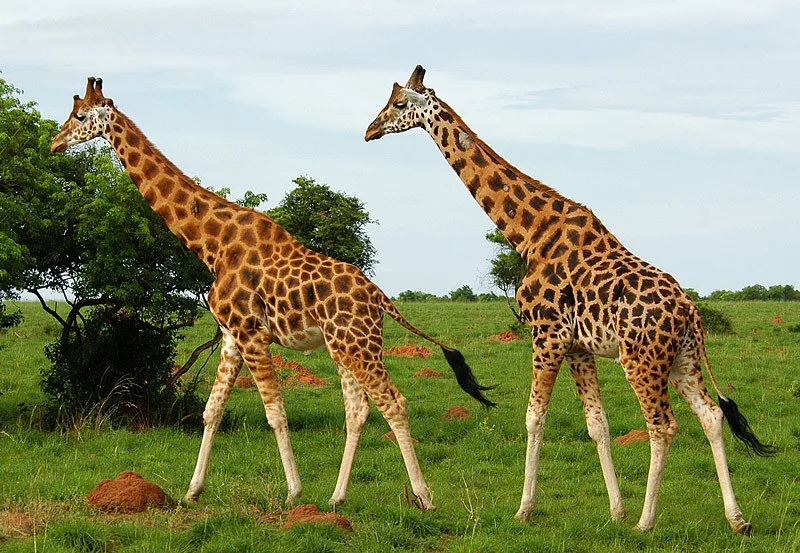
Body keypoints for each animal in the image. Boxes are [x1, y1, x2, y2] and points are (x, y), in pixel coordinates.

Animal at [51, 75, 494, 512]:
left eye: (80, 116)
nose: (56, 143)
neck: (213, 246)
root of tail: (380, 298)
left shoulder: (252, 332)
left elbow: (275, 413)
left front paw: (293, 492)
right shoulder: (231, 336)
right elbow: (212, 411)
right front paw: (193, 491)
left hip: (357, 344)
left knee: (393, 403)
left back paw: (423, 496)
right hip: (345, 345)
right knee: (358, 409)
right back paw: (337, 497)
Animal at [364, 66, 776, 536]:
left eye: (399, 104)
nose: (369, 130)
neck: (529, 233)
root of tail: (691, 311)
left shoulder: (547, 335)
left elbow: (533, 417)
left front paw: (525, 509)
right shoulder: (579, 346)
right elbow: (597, 424)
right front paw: (614, 511)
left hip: (642, 360)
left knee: (663, 427)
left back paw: (646, 522)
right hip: (682, 358)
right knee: (710, 415)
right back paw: (737, 519)